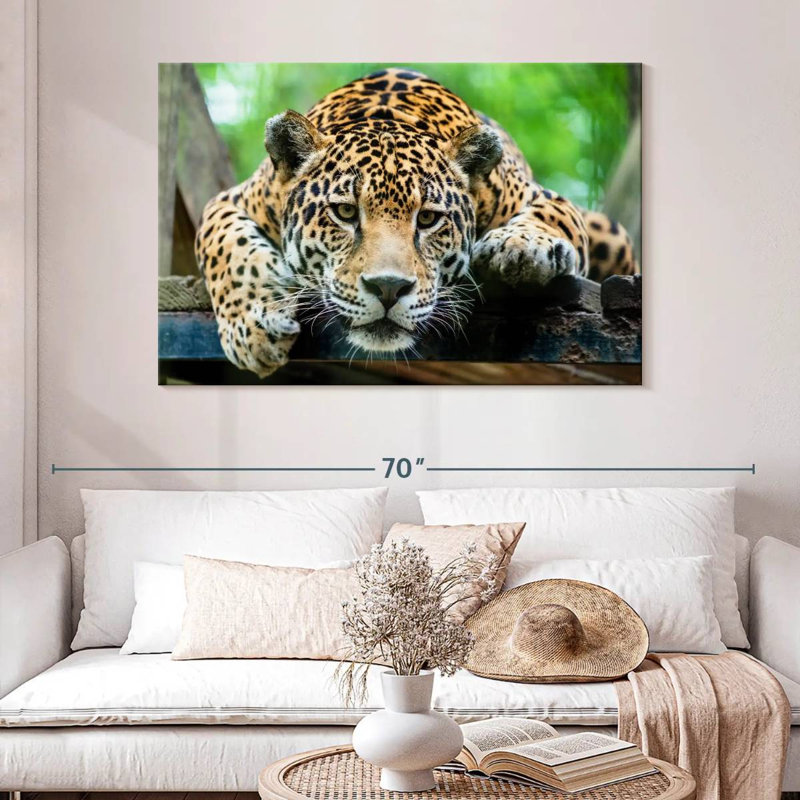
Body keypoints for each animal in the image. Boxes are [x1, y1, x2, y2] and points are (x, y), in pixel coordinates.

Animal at [194, 68, 639, 377]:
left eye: (427, 219)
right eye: (345, 212)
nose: (388, 289)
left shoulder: (542, 196)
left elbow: (552, 216)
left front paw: (521, 246)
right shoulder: (230, 200)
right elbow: (227, 248)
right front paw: (253, 329)